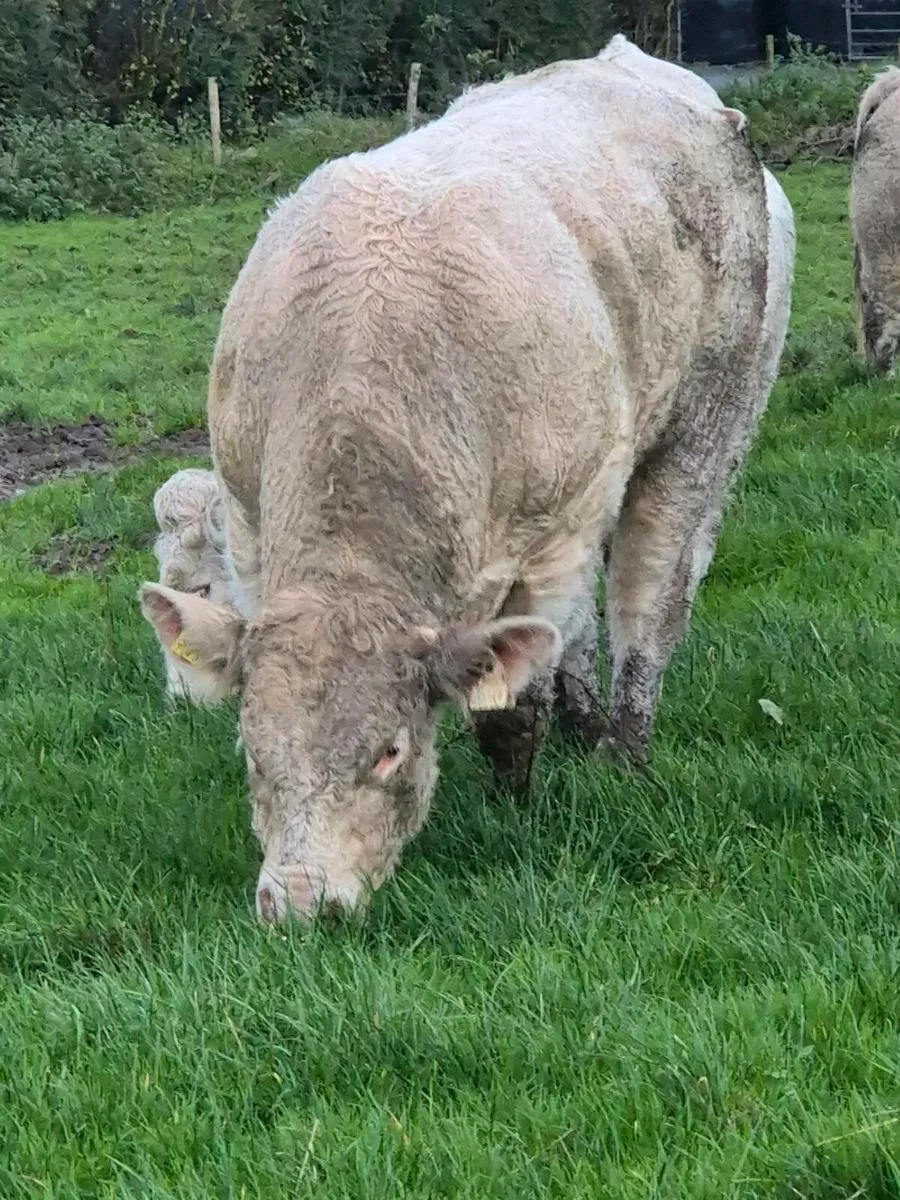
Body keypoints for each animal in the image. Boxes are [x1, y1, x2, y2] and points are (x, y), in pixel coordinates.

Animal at [139, 38, 795, 922]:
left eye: (389, 751)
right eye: (251, 747)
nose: (300, 903)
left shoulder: (557, 530)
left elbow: (511, 703)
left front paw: (513, 802)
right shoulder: (246, 524)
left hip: (705, 428)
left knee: (648, 598)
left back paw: (623, 749)